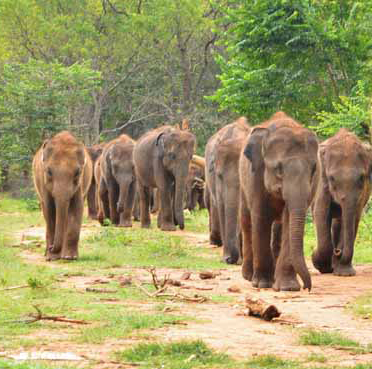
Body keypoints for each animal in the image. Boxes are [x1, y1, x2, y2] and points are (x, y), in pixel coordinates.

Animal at [32, 131, 92, 260]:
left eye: (77, 172)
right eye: (49, 171)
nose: (51, 247)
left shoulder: (80, 184)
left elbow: (77, 208)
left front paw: (70, 257)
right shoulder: (43, 182)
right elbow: (49, 209)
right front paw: (52, 257)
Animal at [240, 112, 318, 290]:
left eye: (314, 169)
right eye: (279, 169)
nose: (307, 287)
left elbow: (289, 221)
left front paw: (288, 287)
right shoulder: (255, 175)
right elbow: (260, 219)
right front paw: (262, 284)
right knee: (247, 222)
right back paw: (248, 276)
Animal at [310, 129, 372, 276]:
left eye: (362, 178)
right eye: (332, 178)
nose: (338, 251)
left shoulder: (363, 192)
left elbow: (353, 217)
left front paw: (345, 273)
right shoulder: (322, 181)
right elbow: (320, 213)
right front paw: (321, 265)